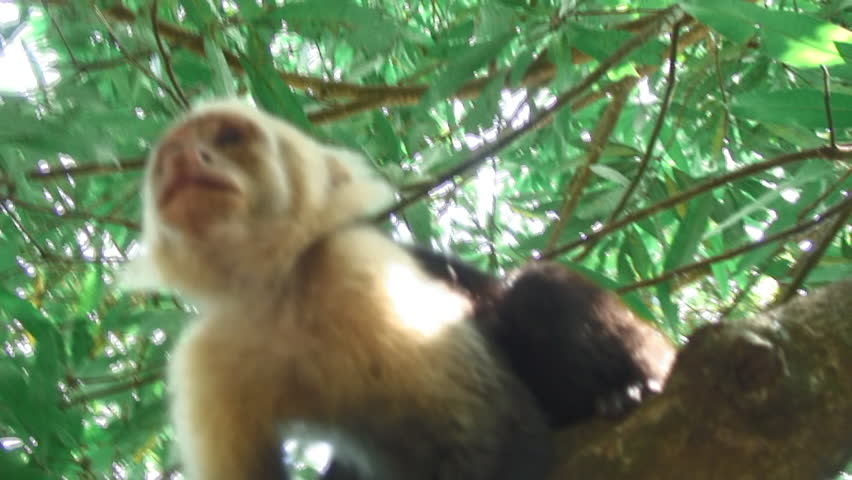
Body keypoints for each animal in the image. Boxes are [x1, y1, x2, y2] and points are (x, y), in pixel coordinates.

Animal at [123, 99, 552, 480]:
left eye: (229, 137)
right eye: (168, 156)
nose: (184, 158)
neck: (276, 293)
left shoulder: (359, 265)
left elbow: (494, 437)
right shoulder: (204, 360)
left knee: (535, 290)